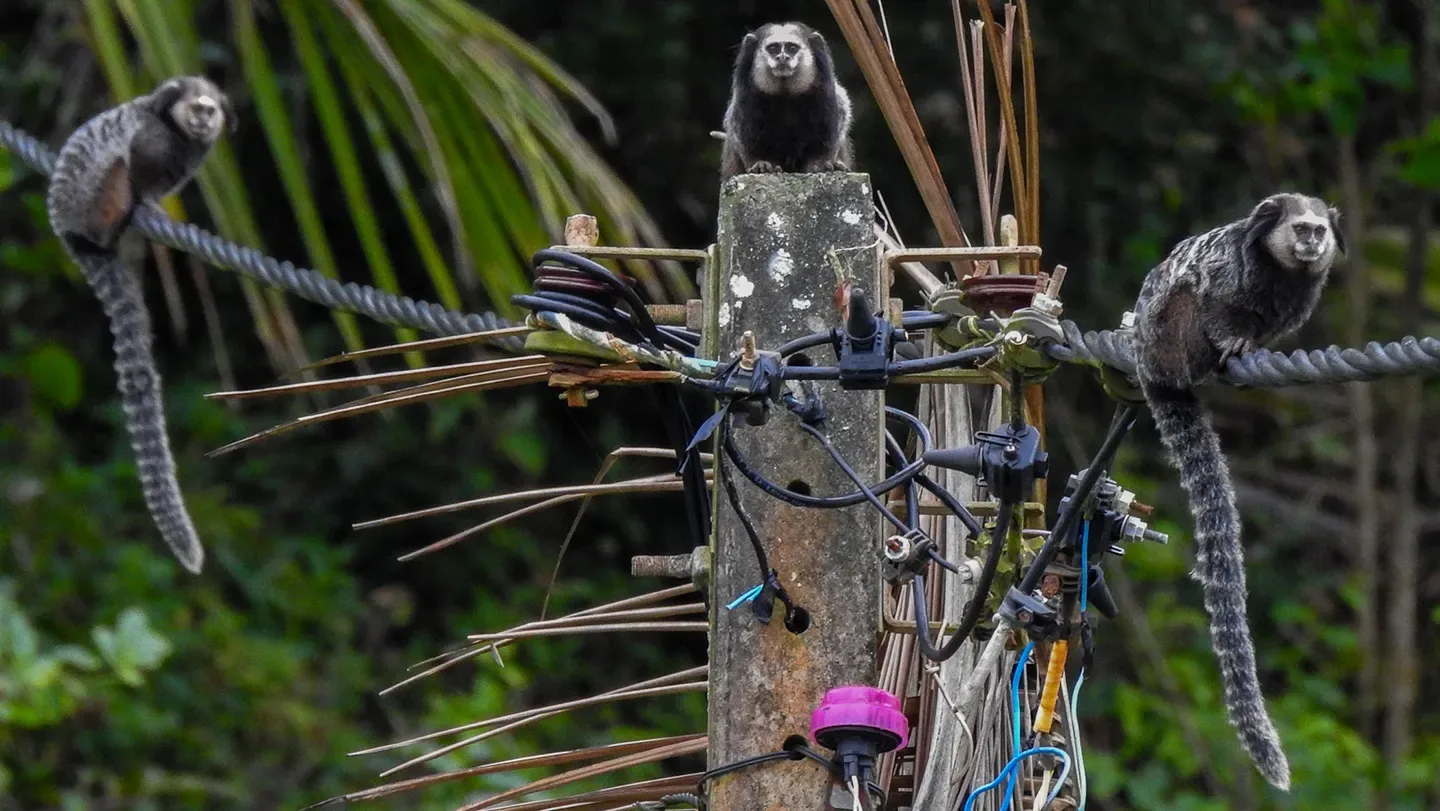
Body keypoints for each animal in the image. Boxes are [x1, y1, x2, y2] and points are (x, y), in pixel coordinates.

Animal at [45, 76, 234, 574]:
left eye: (211, 111)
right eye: (196, 109)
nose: (204, 121)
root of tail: (73, 237)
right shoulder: (153, 138)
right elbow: (138, 158)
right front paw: (148, 201)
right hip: (94, 203)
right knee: (116, 169)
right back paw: (126, 216)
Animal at [719, 22, 854, 183]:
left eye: (792, 48)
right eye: (773, 48)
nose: (782, 57)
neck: (786, 97)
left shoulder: (827, 99)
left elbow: (831, 134)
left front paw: (823, 165)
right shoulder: (746, 100)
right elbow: (743, 137)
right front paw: (761, 164)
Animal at [1130, 192, 1345, 791]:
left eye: (1319, 231)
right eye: (1300, 229)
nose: (1312, 244)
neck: (1280, 273)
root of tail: (1148, 364)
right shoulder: (1227, 276)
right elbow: (1212, 300)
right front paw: (1235, 340)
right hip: (1168, 335)